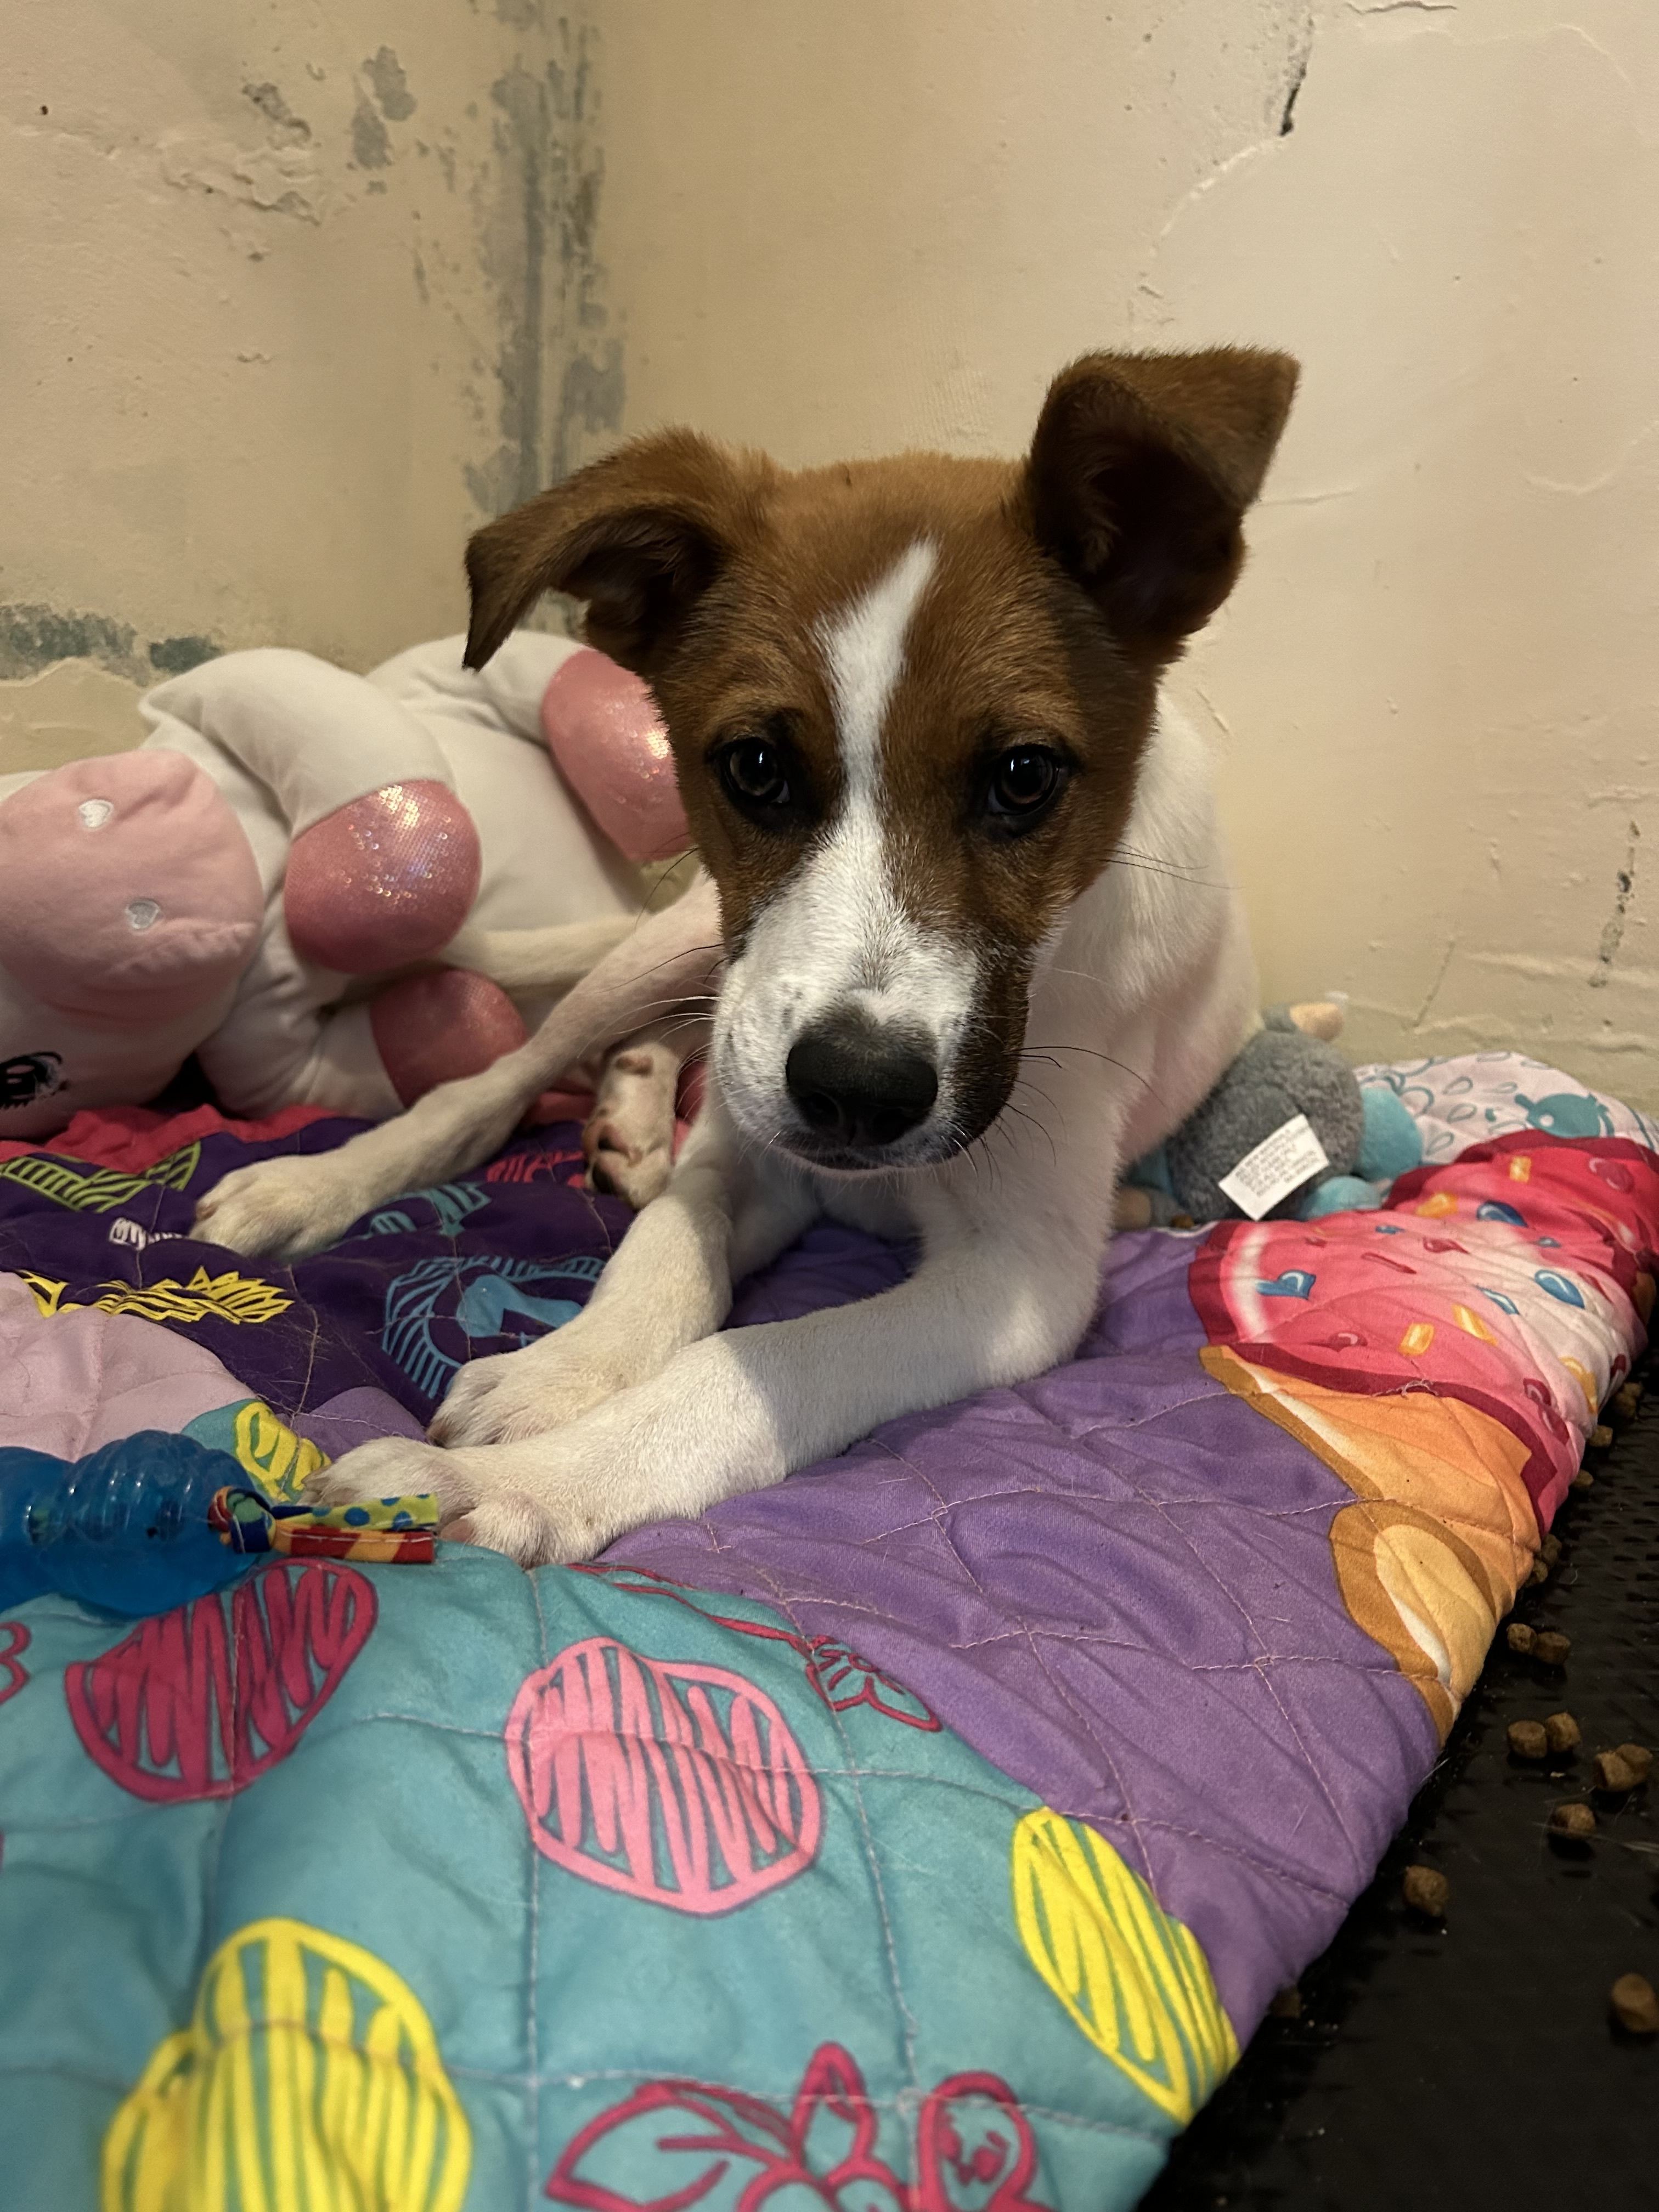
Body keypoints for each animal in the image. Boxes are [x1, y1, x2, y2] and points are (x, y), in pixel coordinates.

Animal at [198, 345, 1300, 1566]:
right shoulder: (755, 1139)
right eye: (756, 767)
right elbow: (660, 1258)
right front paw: (556, 1376)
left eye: (1023, 776)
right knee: (500, 1082)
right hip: (678, 946)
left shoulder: (1019, 1277)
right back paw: (319, 1182)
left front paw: (510, 1481)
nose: (856, 1093)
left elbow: (754, 1361)